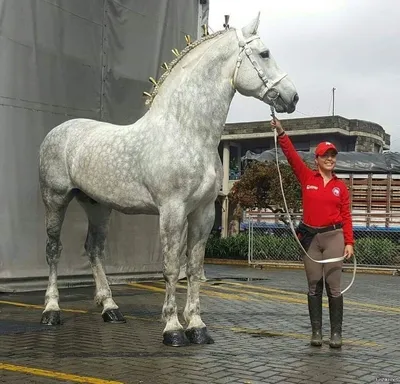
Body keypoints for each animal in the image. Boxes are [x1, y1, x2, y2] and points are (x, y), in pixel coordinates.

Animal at [39, 13, 298, 346]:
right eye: (265, 54)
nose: (292, 97)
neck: (186, 131)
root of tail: (58, 131)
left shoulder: (203, 213)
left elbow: (195, 267)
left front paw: (197, 327)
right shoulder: (172, 211)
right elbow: (172, 268)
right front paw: (173, 328)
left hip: (98, 206)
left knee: (94, 249)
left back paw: (110, 308)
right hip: (55, 199)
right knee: (53, 249)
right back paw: (51, 310)